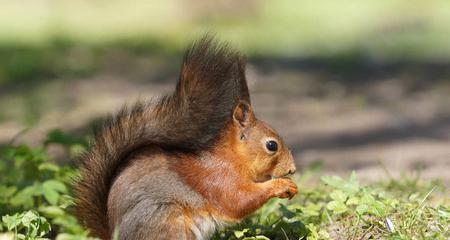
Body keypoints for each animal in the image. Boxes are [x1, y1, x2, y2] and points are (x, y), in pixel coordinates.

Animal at [73, 36, 298, 240]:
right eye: (272, 145)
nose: (292, 169)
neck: (232, 158)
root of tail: (114, 235)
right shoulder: (218, 180)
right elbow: (239, 200)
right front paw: (282, 185)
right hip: (166, 220)